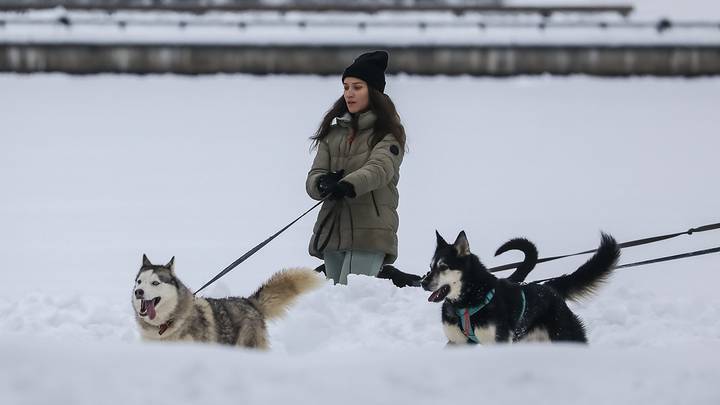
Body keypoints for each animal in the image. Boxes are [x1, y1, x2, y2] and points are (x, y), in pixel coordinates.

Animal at [422, 230, 620, 344]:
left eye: (443, 267)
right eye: (430, 267)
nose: (423, 282)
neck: (467, 302)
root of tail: (549, 288)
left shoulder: (497, 342)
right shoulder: (456, 343)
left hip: (565, 335)